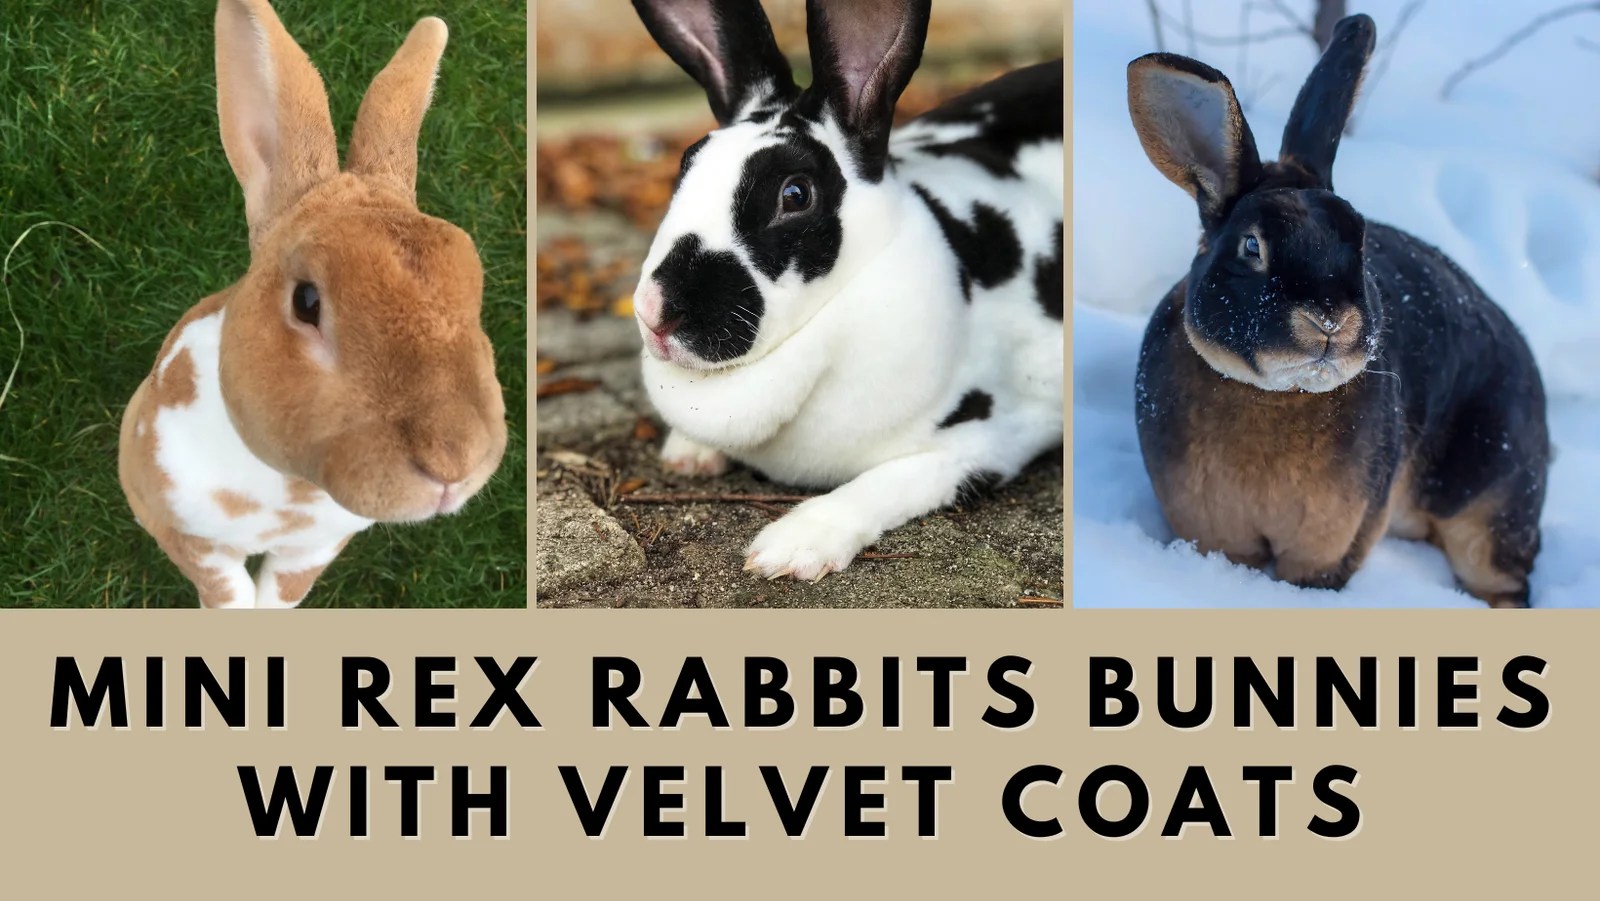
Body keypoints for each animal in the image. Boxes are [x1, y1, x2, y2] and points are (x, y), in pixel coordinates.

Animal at [117, 0, 508, 609]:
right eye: (306, 301)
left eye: (474, 286)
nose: (453, 461)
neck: (287, 487)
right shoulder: (182, 527)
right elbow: (226, 590)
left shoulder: (316, 548)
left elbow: (281, 592)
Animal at [626, 0, 1064, 582]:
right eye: (686, 165)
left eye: (795, 195)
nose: (654, 311)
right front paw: (690, 454)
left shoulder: (989, 441)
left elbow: (886, 482)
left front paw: (792, 547)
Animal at [1126, 14, 1549, 607]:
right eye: (1251, 247)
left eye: (1362, 242)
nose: (1329, 320)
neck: (1278, 392)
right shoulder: (1209, 528)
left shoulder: (1334, 540)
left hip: (1488, 499)